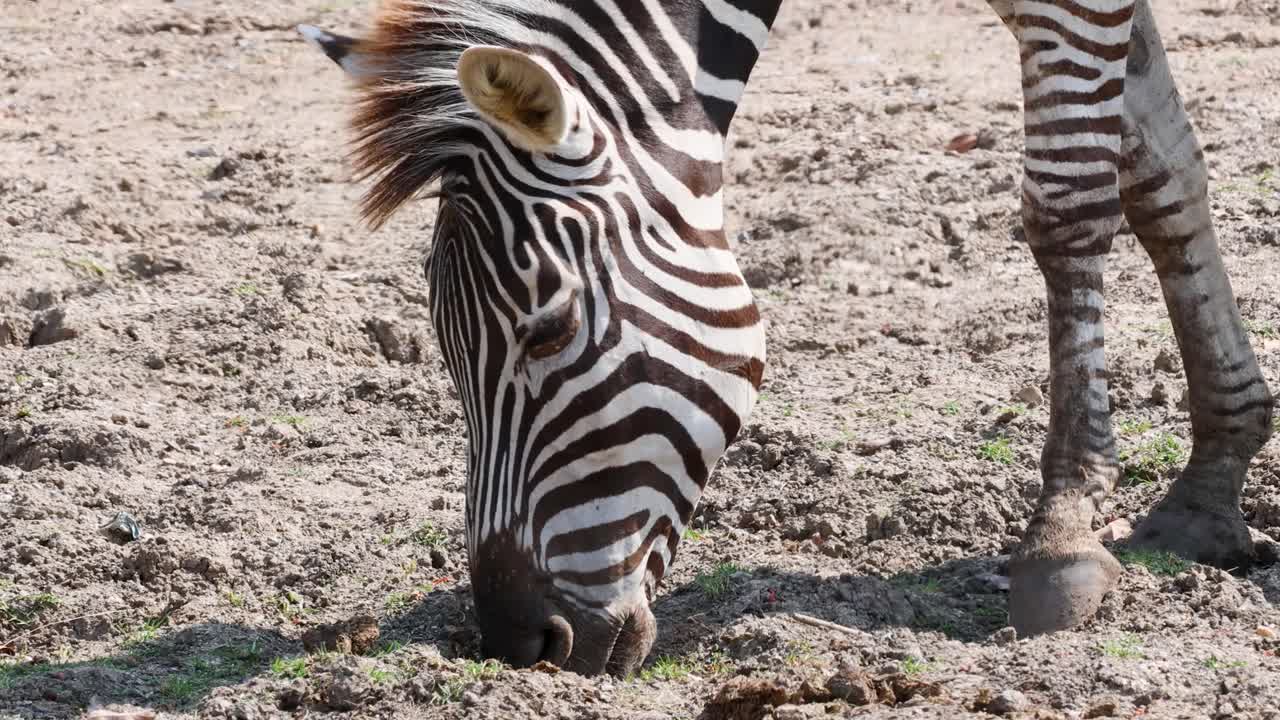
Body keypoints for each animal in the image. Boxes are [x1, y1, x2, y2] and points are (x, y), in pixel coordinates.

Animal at [299, 0, 1273, 676]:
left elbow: (1069, 204)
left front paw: (1063, 533)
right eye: (443, 347)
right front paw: (1210, 485)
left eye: (551, 329)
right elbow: (1160, 172)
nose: (520, 643)